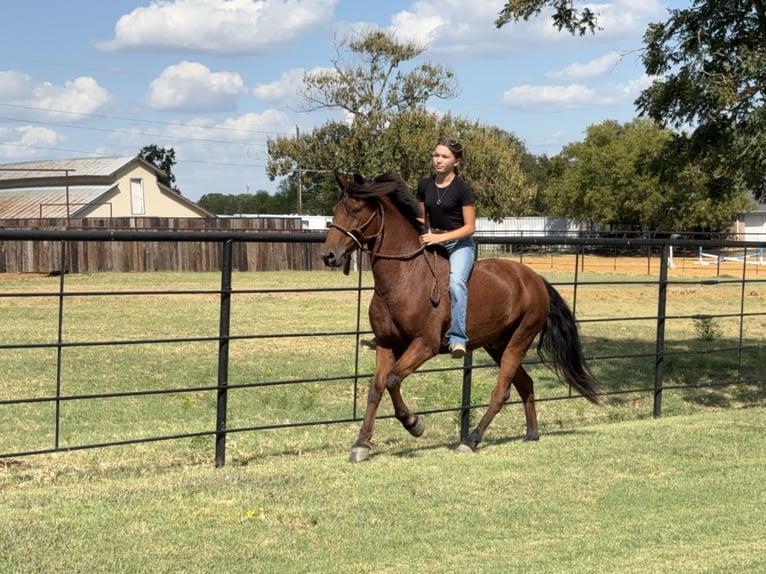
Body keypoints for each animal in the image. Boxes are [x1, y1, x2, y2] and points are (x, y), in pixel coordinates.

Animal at [321, 172, 600, 462]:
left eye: (355, 210)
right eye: (335, 210)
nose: (328, 255)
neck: (406, 276)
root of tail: (535, 279)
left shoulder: (425, 344)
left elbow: (393, 380)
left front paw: (414, 424)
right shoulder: (387, 343)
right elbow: (376, 387)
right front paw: (361, 445)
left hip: (519, 340)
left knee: (502, 391)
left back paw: (471, 440)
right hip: (497, 345)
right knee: (525, 383)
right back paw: (531, 433)